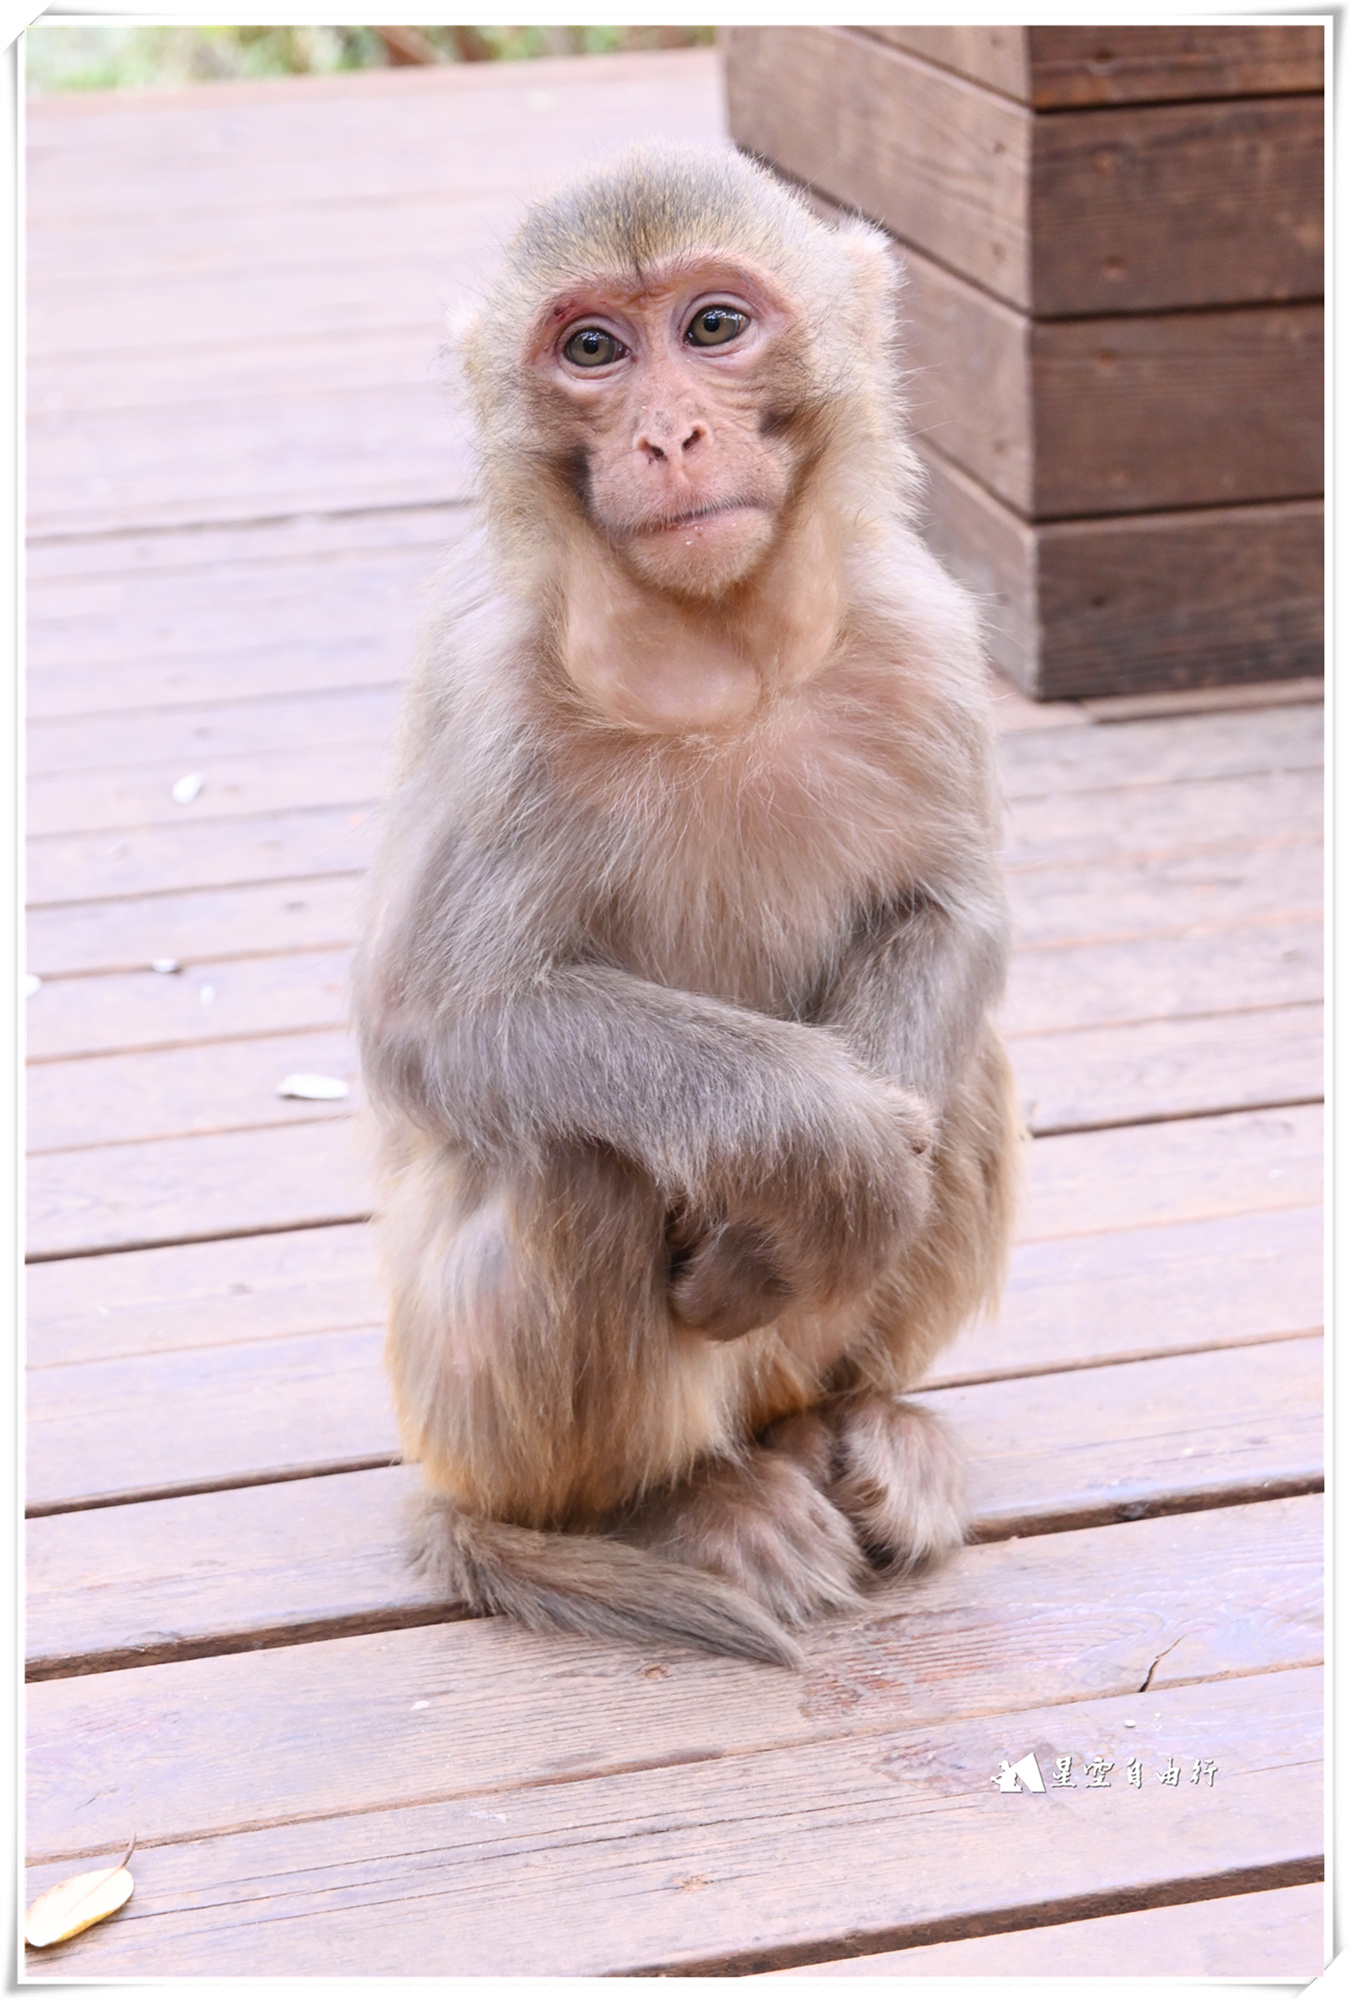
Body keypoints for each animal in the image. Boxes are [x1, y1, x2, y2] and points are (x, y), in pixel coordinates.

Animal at [353, 145, 1019, 1672]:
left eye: (713, 327)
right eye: (593, 350)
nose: (668, 436)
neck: (714, 660)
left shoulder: (919, 626)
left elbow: (950, 908)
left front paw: (844, 1195)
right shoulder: (488, 698)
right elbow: (435, 1025)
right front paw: (829, 1153)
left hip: (787, 1359)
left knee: (962, 1077)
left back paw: (856, 1420)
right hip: (460, 1416)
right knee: (575, 1155)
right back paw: (656, 1508)